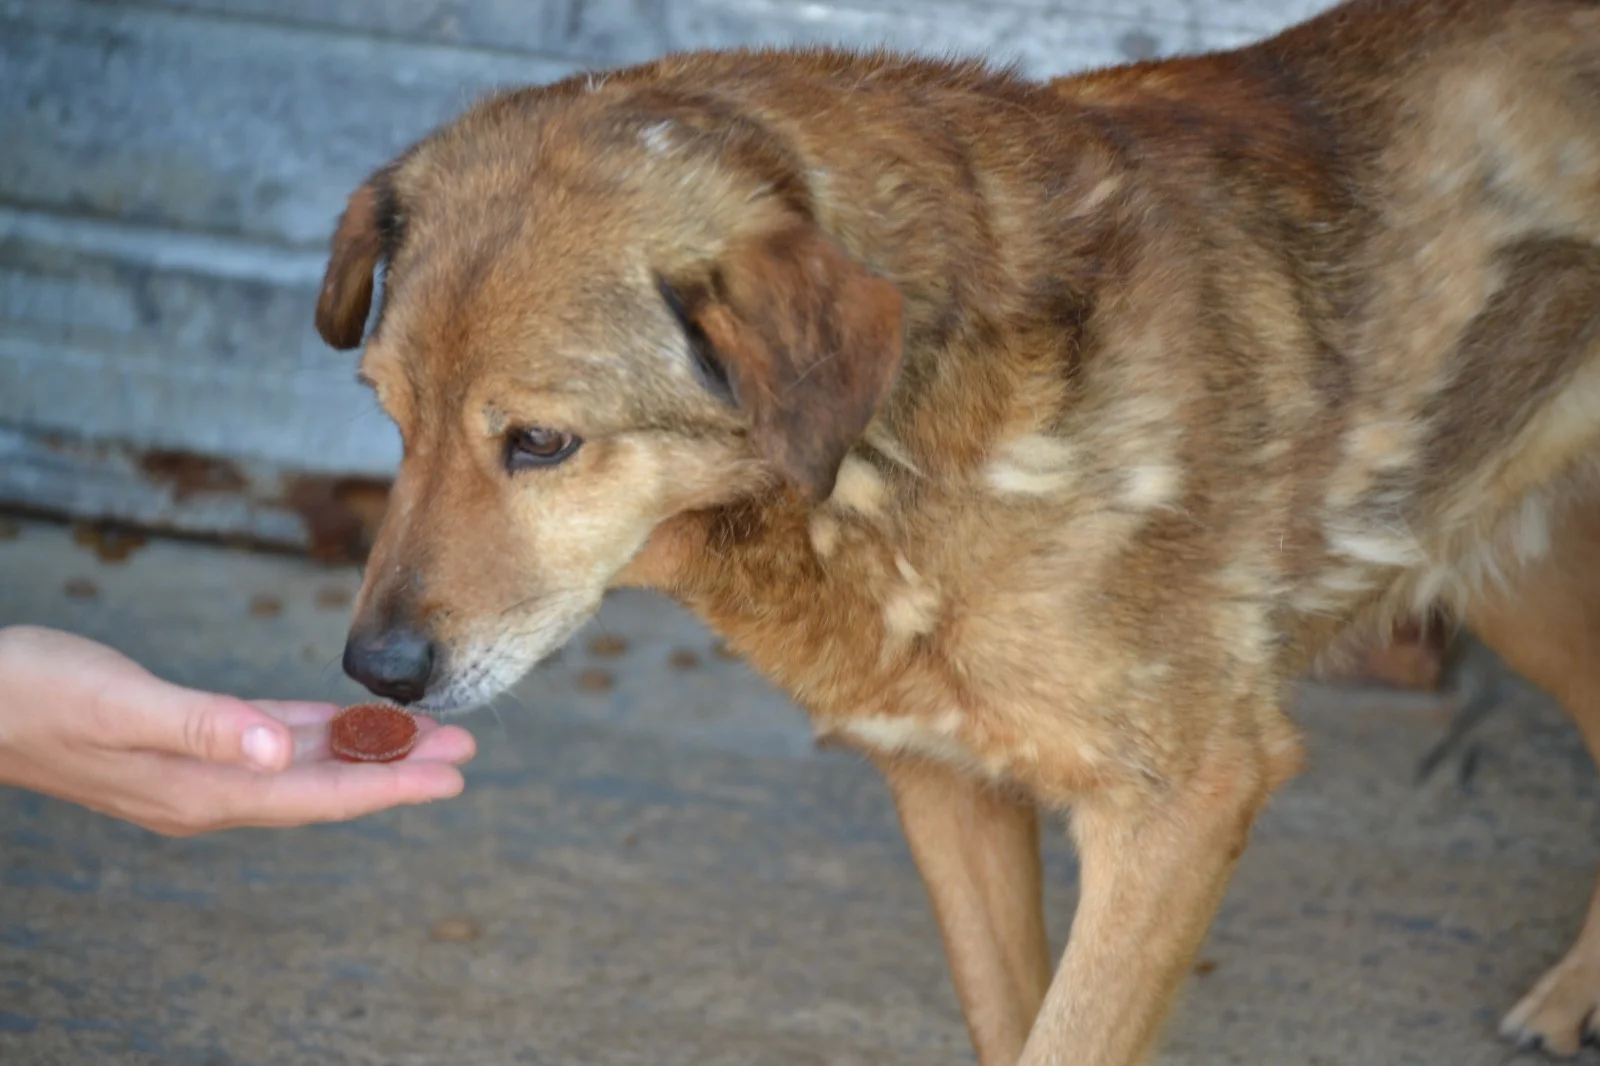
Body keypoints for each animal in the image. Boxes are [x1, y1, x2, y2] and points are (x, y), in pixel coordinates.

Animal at [313, 0, 1600, 1061]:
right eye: (388, 414)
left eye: (540, 441)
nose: (375, 673)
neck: (890, 468)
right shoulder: (946, 783)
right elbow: (1005, 1017)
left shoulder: (1179, 804)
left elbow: (1068, 1036)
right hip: (1503, 566)